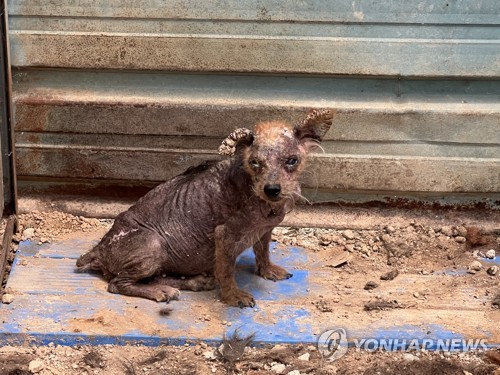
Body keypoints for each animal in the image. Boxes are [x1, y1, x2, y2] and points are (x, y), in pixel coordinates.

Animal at [76, 108, 334, 308]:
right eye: (255, 163)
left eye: (292, 160)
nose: (272, 189)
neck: (260, 199)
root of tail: (99, 250)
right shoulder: (224, 235)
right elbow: (226, 270)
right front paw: (233, 297)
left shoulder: (266, 229)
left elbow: (263, 251)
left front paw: (268, 270)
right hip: (153, 244)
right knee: (117, 284)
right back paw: (161, 292)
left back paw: (192, 283)